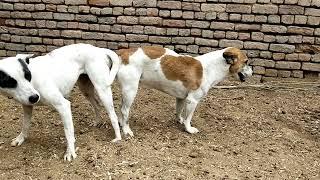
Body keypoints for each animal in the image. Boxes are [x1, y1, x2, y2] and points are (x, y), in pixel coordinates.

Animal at [81, 46, 251, 136]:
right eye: (246, 62)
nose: (253, 70)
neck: (211, 67)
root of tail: (124, 53)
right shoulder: (193, 101)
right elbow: (189, 117)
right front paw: (188, 129)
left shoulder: (182, 98)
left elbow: (179, 112)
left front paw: (179, 121)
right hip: (131, 90)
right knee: (124, 111)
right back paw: (127, 130)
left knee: (122, 110)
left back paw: (123, 125)